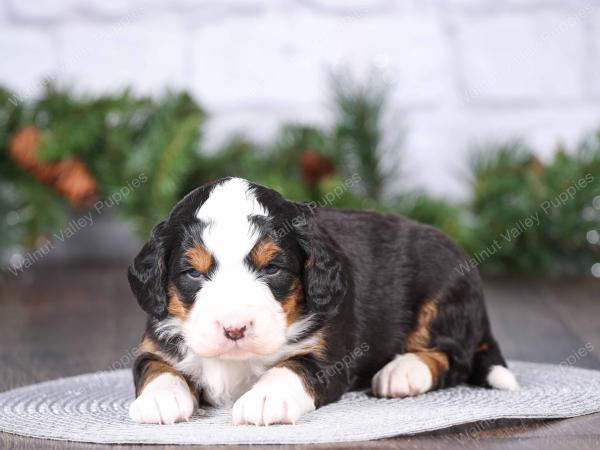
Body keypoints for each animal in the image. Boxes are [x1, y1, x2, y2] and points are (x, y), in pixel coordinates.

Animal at [127, 177, 516, 426]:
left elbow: (290, 368)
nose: (234, 329)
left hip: (443, 290)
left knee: (454, 356)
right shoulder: (156, 343)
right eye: (193, 273)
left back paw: (403, 373)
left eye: (272, 268)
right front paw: (159, 399)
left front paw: (265, 399)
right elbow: (158, 370)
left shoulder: (327, 355)